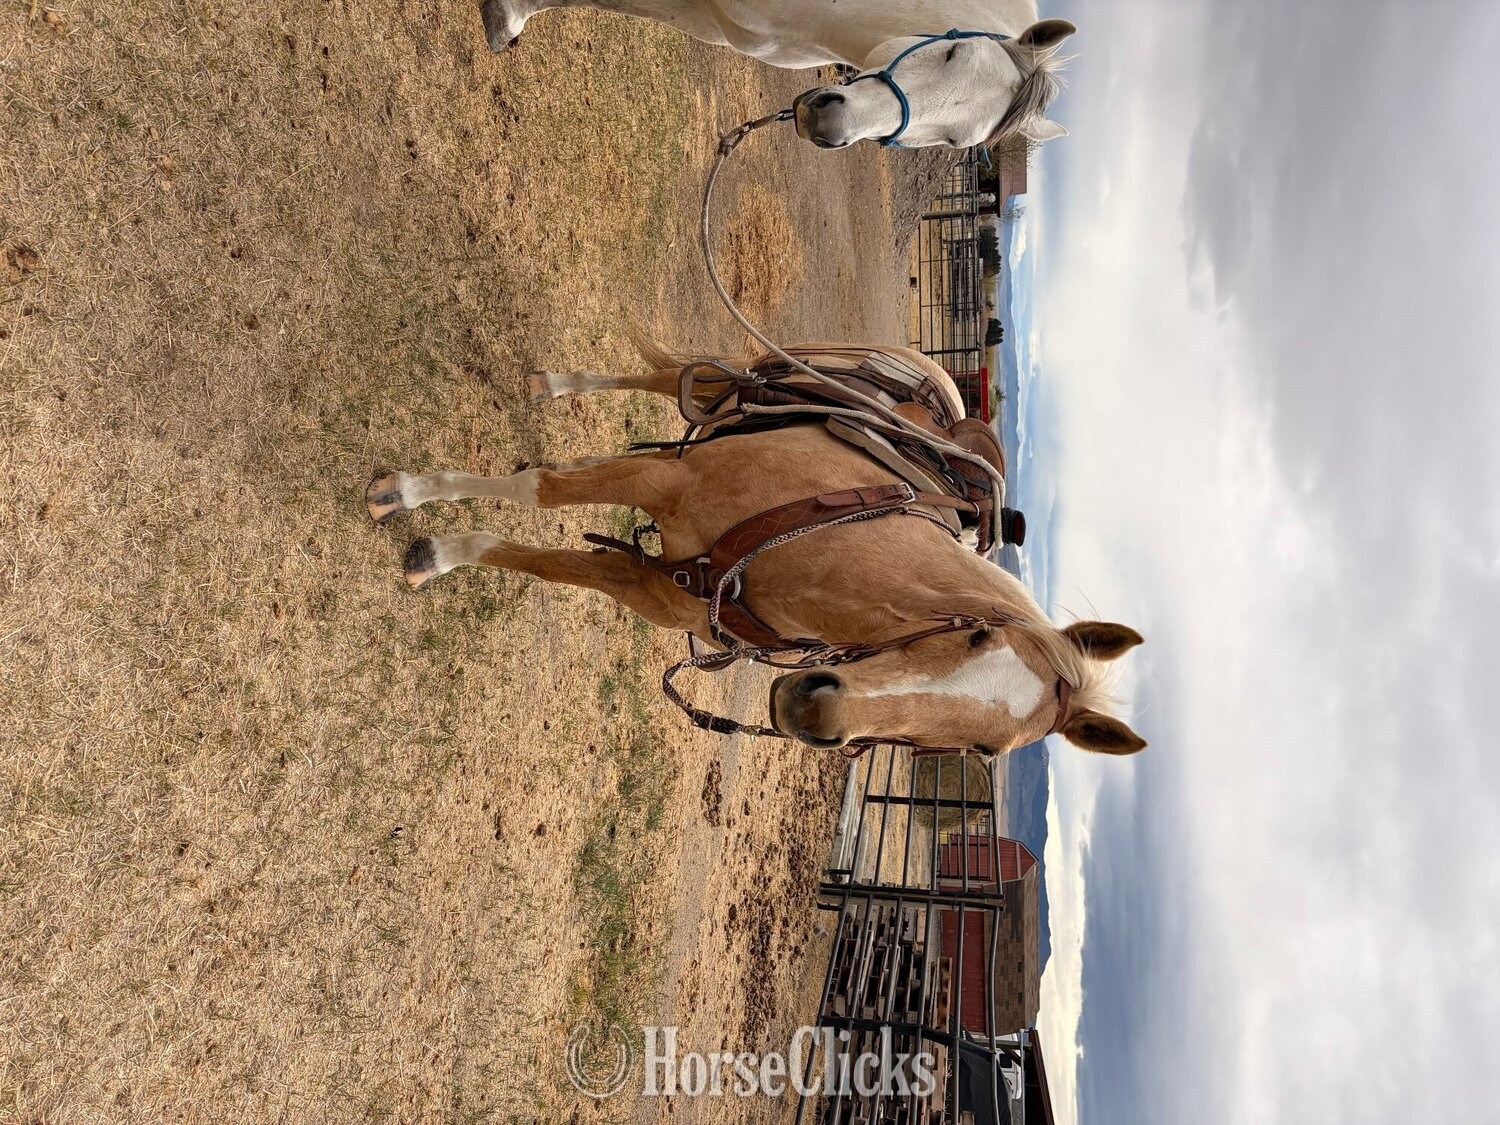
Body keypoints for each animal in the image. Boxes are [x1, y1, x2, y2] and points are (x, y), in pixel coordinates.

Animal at [365, 339, 1146, 758]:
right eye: (976, 633)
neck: (825, 544)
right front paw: (406, 494)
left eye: (983, 751)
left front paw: (438, 555)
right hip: (731, 376)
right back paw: (553, 383)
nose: (814, 710)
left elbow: (544, 560)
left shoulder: (657, 588)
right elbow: (541, 490)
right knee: (666, 375)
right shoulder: (667, 476)